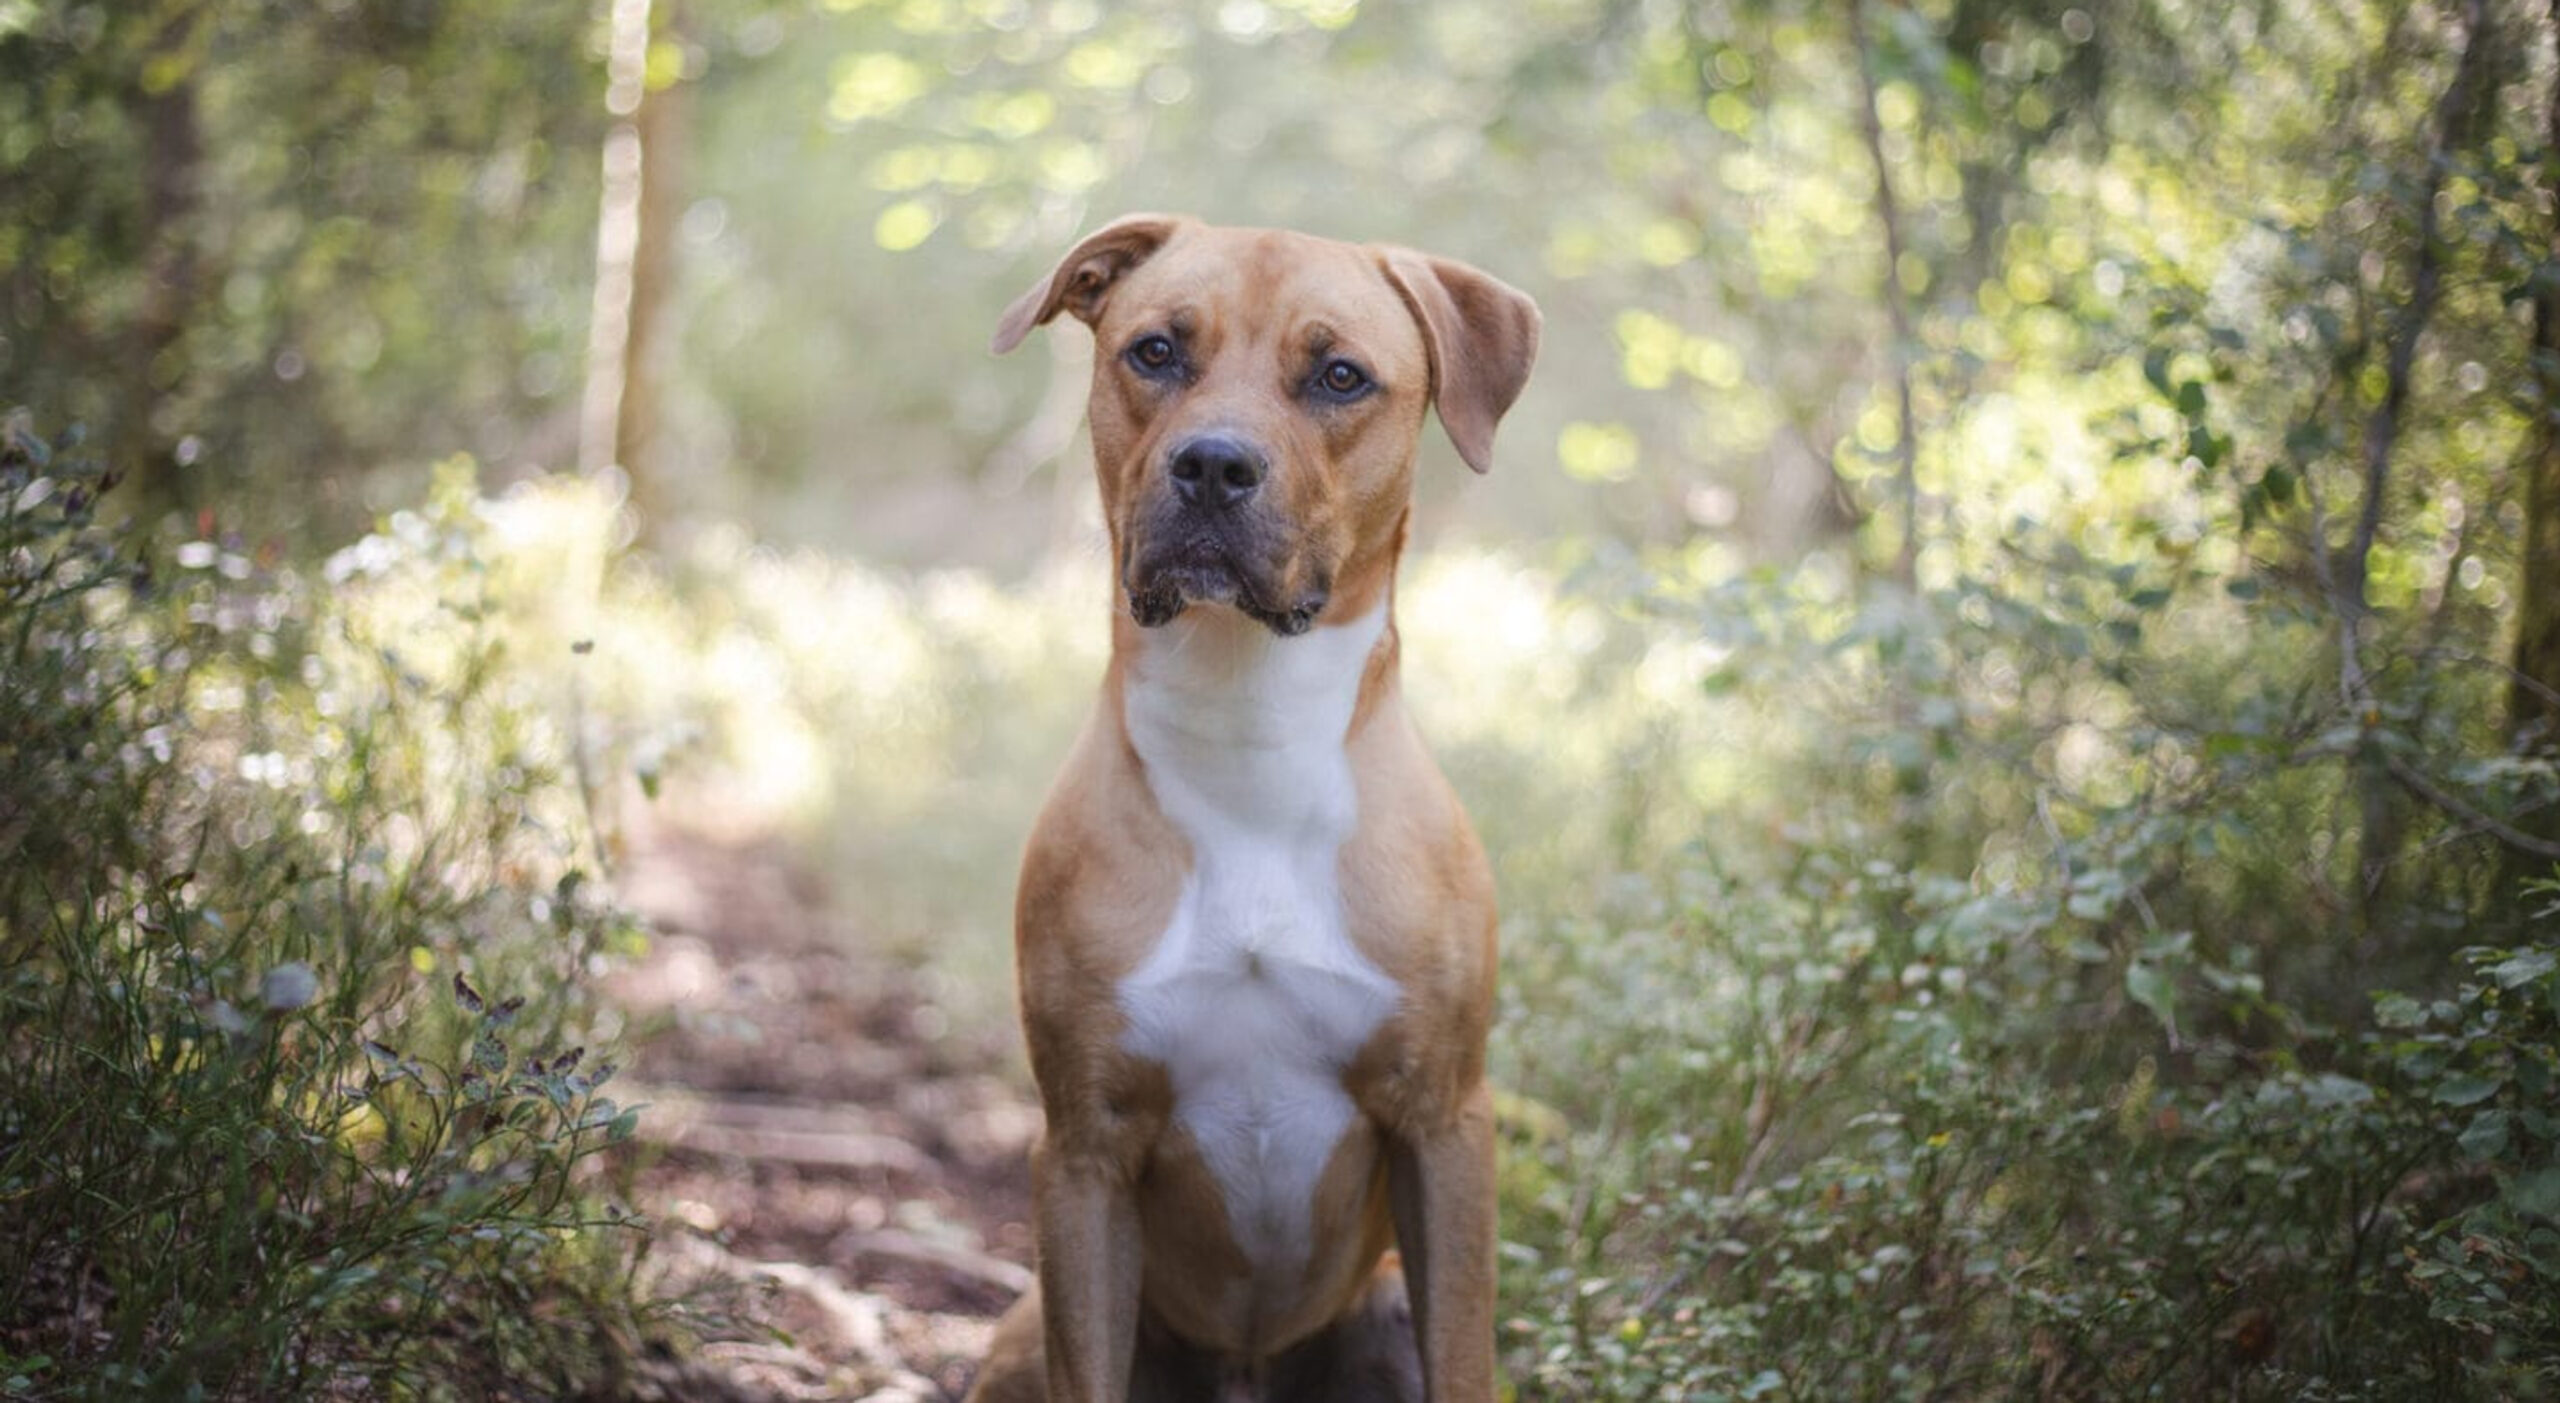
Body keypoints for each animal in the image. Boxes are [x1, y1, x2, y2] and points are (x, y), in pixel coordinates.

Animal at [966, 215, 1539, 1403]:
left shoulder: (1444, 1123)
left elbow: (1465, 1350)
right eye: (1153, 352)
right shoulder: (1083, 1148)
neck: (1247, 746)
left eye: (1339, 375)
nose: (1212, 464)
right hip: (1024, 1333)